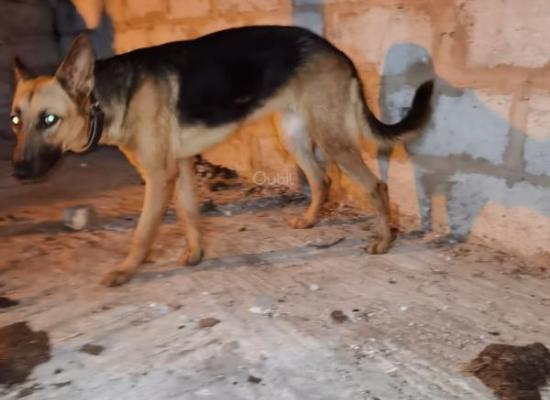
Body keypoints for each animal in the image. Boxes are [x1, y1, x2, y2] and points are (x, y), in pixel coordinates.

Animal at [10, 25, 433, 286]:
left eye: (49, 119)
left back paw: (385, 240)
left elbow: (143, 233)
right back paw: (311, 220)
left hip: (332, 139)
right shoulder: (179, 167)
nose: (17, 174)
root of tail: (336, 50)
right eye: (15, 120)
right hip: (294, 135)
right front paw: (196, 252)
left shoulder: (159, 175)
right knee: (321, 178)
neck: (104, 99)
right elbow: (189, 214)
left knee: (375, 185)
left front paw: (126, 271)